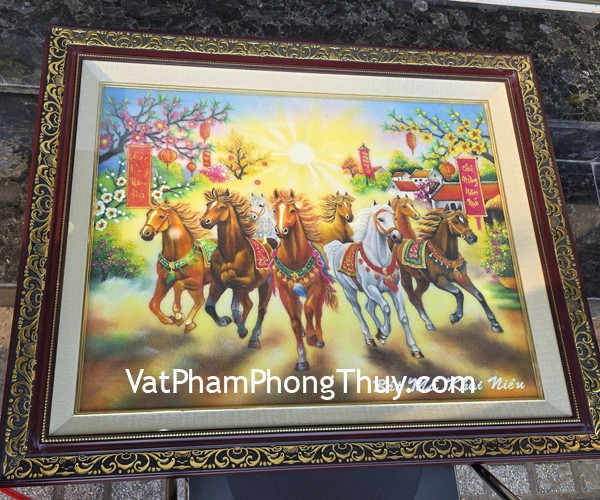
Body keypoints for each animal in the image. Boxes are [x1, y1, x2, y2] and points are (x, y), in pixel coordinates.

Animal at [140, 198, 214, 333]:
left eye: (161, 216)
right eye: (148, 214)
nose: (145, 233)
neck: (176, 257)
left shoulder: (195, 282)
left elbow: (178, 285)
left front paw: (178, 316)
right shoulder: (163, 281)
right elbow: (153, 304)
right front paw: (168, 320)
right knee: (199, 301)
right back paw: (189, 323)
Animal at [200, 188, 275, 347]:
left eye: (222, 206)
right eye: (208, 205)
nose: (204, 221)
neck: (232, 253)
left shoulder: (245, 284)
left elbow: (249, 305)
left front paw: (242, 330)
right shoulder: (218, 283)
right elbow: (209, 306)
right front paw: (224, 320)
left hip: (265, 284)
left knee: (261, 308)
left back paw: (254, 337)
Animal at [271, 189, 338, 371]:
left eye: (292, 210)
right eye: (274, 211)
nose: (281, 230)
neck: (294, 260)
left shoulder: (315, 288)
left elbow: (309, 309)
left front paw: (312, 337)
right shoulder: (285, 293)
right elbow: (295, 321)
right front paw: (301, 359)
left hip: (320, 294)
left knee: (317, 313)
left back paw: (318, 338)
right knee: (300, 309)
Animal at [325, 203, 423, 358]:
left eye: (394, 218)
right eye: (380, 219)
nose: (397, 236)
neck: (380, 260)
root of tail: (338, 247)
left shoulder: (395, 289)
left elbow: (402, 316)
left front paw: (414, 348)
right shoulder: (372, 288)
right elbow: (387, 308)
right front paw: (384, 332)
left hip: (369, 293)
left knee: (369, 307)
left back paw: (379, 333)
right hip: (350, 291)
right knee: (358, 310)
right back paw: (370, 337)